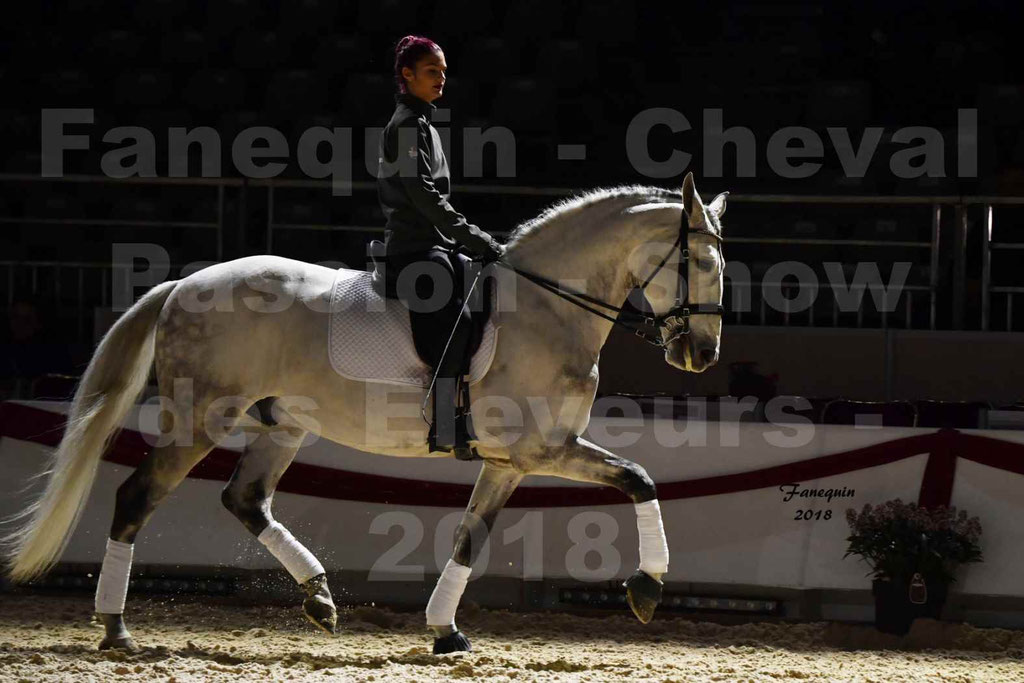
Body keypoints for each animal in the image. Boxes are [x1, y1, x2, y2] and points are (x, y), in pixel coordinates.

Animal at [2, 172, 727, 654]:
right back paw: (115, 628)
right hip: (199, 419)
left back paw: (319, 598)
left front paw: (445, 630)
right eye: (695, 260)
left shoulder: (509, 461)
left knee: (244, 499)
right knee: (136, 496)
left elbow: (470, 537)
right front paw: (646, 588)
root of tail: (184, 283)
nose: (702, 353)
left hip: (281, 425)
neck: (549, 307)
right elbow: (639, 478)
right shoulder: (544, 447)